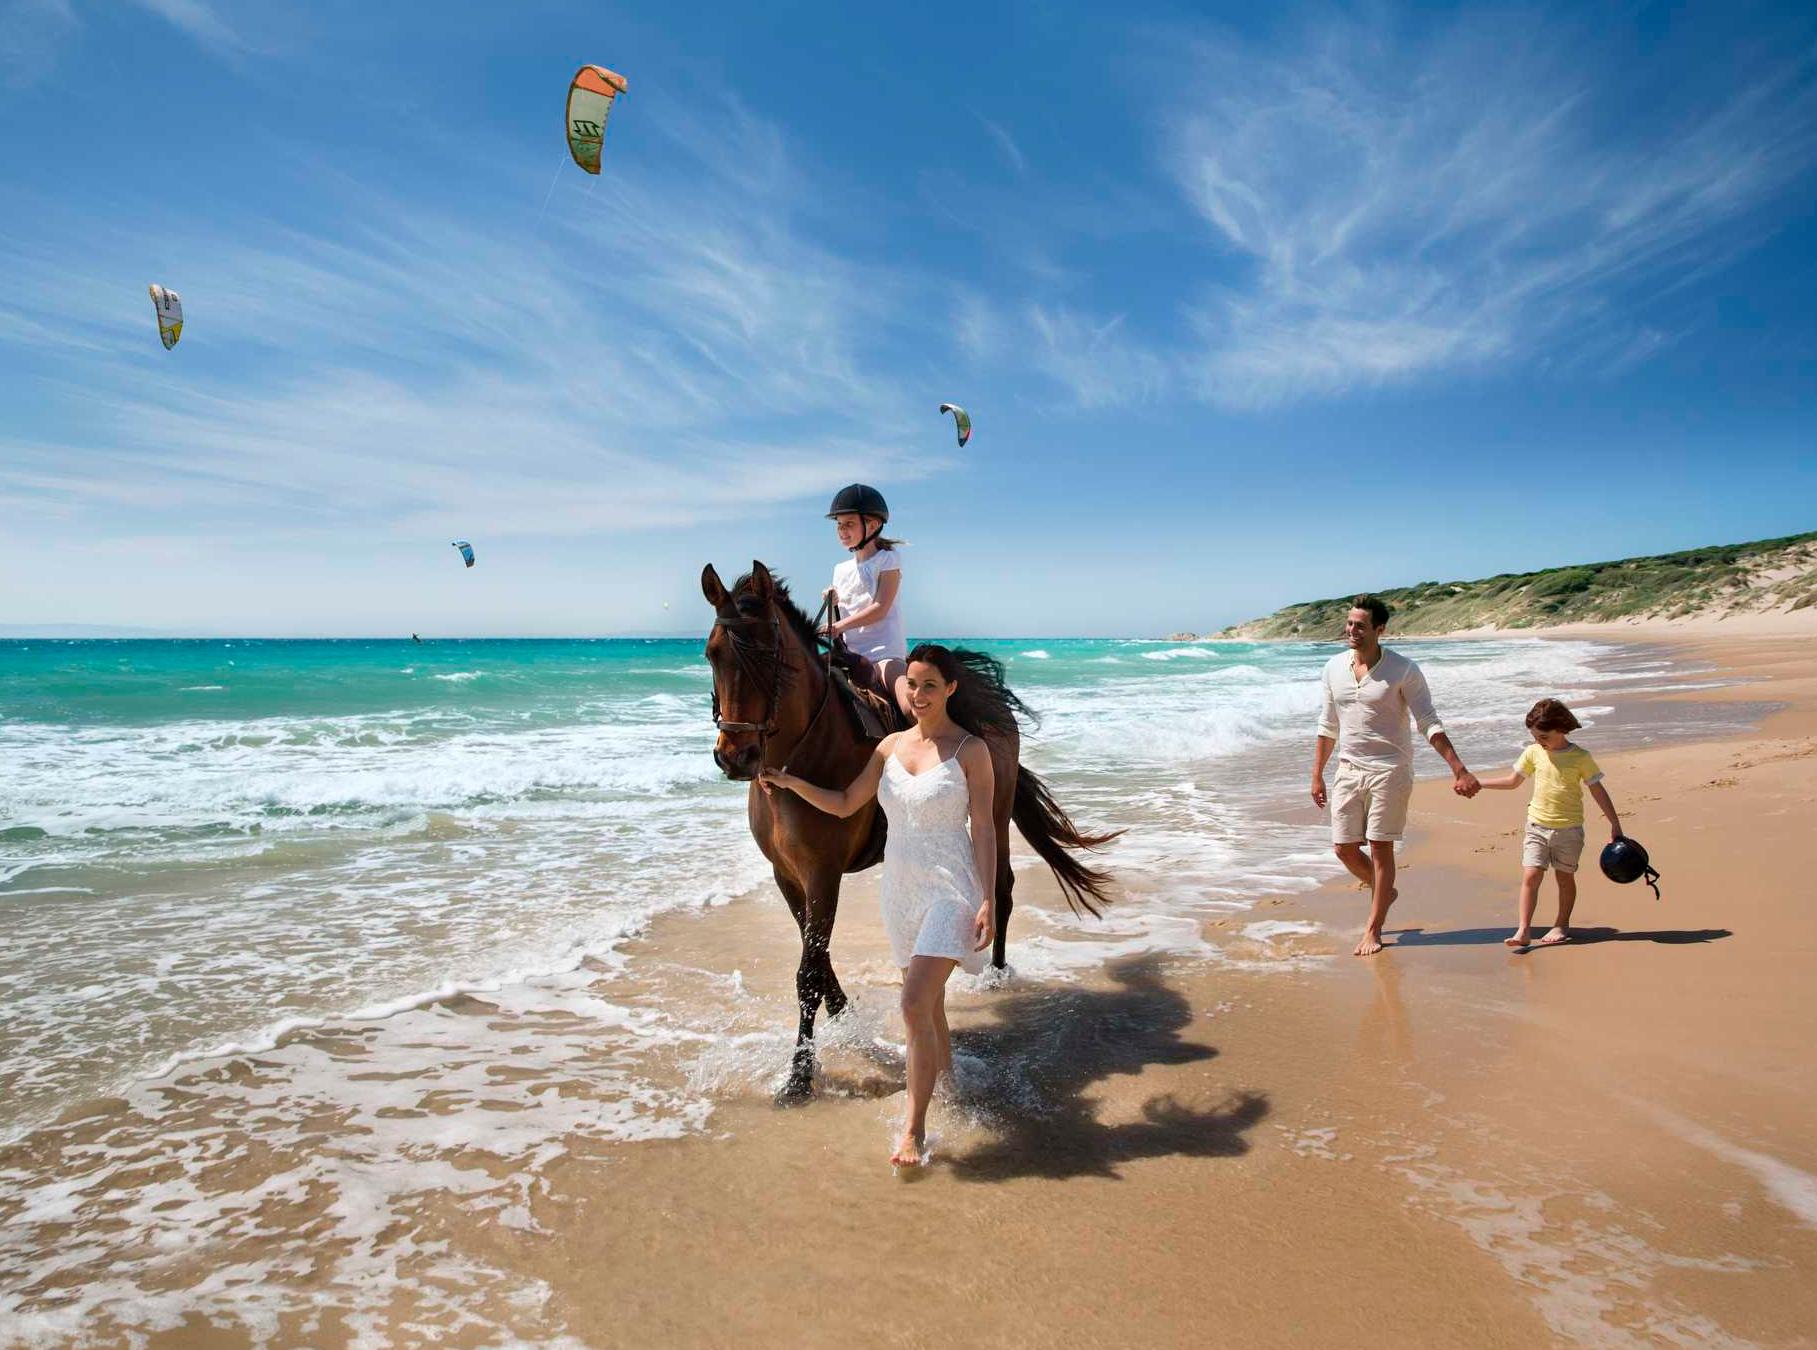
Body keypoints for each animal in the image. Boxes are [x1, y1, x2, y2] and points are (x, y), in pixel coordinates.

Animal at [701, 559, 1112, 1097]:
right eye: (712, 653)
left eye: (768, 653)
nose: (736, 757)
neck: (803, 752)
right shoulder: (787, 875)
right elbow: (817, 958)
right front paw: (847, 1021)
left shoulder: (823, 873)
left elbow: (808, 970)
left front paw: (799, 1077)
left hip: (994, 813)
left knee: (1001, 887)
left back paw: (995, 975)